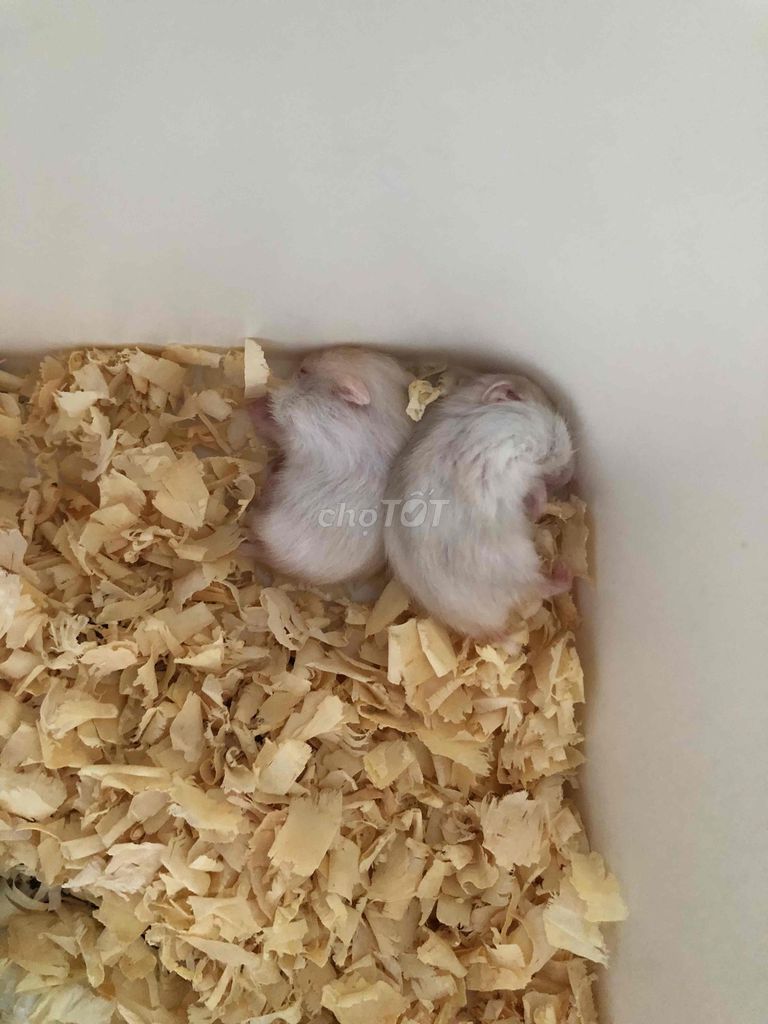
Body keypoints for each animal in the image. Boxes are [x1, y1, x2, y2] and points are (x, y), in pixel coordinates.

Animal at [384, 372, 575, 639]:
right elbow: (537, 488)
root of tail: (487, 628)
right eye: (556, 438)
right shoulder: (516, 455)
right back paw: (564, 571)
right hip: (517, 560)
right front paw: (540, 502)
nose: (569, 476)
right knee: (540, 586)